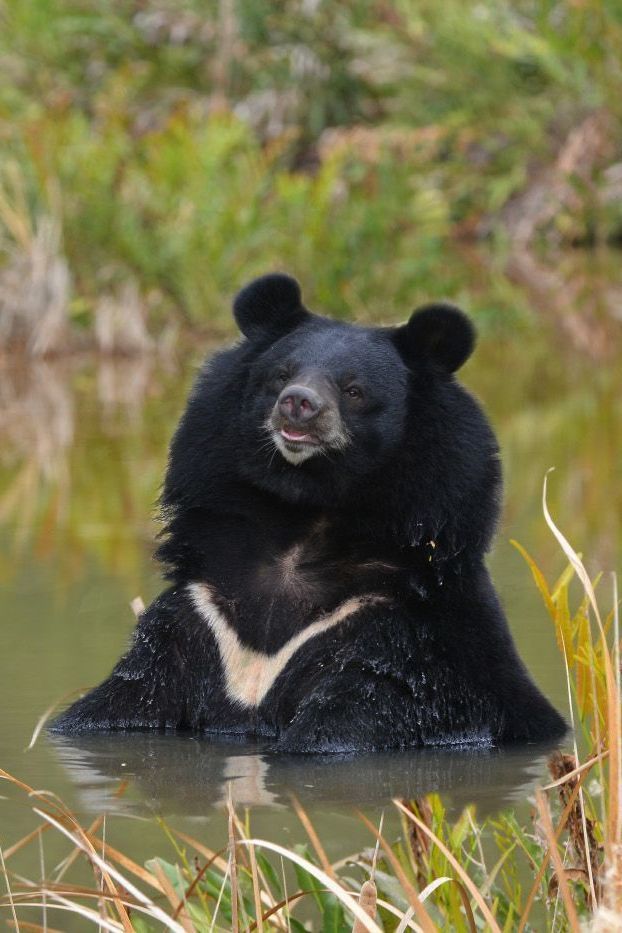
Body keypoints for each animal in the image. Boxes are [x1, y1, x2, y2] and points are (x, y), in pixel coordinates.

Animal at [51, 273, 566, 752]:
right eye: (281, 374)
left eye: (354, 390)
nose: (298, 404)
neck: (306, 510)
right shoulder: (201, 615)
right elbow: (122, 702)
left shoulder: (399, 639)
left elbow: (349, 722)